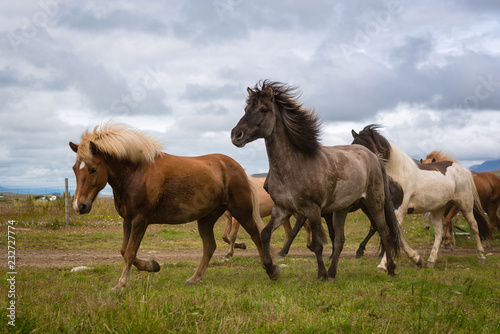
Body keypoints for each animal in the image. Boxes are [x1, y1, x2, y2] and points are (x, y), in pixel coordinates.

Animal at [69, 122, 270, 290]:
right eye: (74, 169)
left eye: (93, 169)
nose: (80, 206)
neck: (136, 173)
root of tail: (237, 167)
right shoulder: (128, 220)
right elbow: (124, 251)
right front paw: (152, 265)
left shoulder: (140, 220)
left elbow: (130, 252)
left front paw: (122, 284)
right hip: (207, 219)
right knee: (209, 247)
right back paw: (195, 278)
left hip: (241, 211)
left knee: (256, 236)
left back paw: (270, 269)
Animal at [232, 80, 400, 280]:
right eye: (245, 109)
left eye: (264, 109)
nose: (236, 135)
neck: (295, 165)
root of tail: (374, 157)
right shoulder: (282, 209)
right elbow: (265, 234)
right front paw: (272, 269)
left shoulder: (312, 210)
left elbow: (318, 244)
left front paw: (321, 274)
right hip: (342, 208)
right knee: (340, 239)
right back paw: (334, 272)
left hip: (374, 203)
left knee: (384, 231)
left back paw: (390, 268)